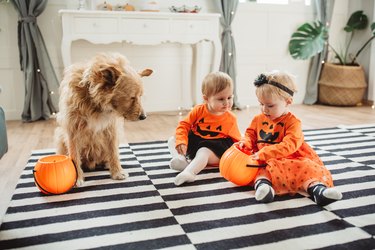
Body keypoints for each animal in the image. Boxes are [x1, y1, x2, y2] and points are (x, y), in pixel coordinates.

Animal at [55, 52, 153, 186]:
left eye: (140, 96)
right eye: (132, 97)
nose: (144, 117)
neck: (94, 101)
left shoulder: (111, 129)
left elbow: (113, 152)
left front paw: (117, 172)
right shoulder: (72, 131)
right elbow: (74, 156)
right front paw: (77, 178)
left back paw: (107, 164)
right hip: (60, 136)